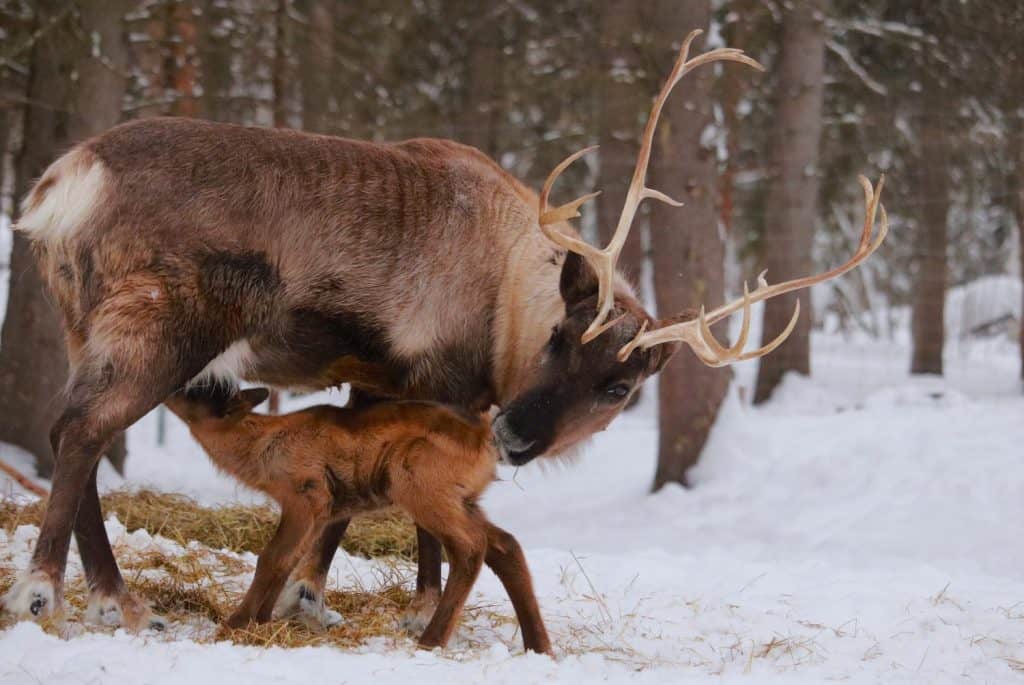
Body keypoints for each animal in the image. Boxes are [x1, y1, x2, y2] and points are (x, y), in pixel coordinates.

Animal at [162, 384, 550, 652]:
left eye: (200, 391)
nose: (171, 386)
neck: (260, 449)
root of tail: (487, 440)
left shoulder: (308, 494)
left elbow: (271, 558)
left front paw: (234, 625)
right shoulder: (322, 511)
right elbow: (290, 560)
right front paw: (263, 619)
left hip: (418, 485)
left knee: (471, 547)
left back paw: (431, 640)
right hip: (464, 499)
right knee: (505, 544)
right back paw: (540, 647)